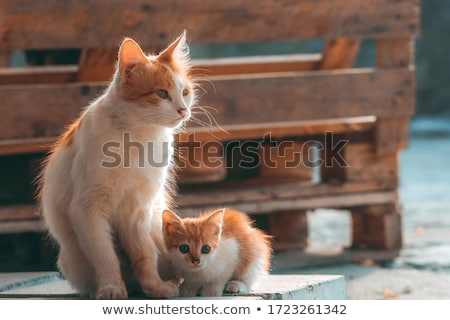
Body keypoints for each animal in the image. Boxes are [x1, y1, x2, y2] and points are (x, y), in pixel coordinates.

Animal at [37, 31, 194, 298]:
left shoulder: (138, 211)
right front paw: (112, 288)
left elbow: (144, 255)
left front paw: (154, 287)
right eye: (162, 94)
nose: (183, 110)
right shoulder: (88, 209)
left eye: (184, 92)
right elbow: (106, 257)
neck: (137, 138)